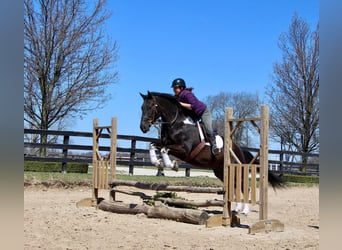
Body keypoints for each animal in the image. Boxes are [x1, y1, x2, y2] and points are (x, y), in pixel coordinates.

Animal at [139, 92, 284, 193]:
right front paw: (158, 163)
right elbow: (153, 145)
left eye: (151, 107)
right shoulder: (165, 143)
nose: (143, 128)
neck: (176, 123)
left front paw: (172, 165)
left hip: (235, 168)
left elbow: (164, 149)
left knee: (243, 187)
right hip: (220, 171)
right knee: (234, 187)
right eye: (142, 107)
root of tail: (239, 149)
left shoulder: (184, 149)